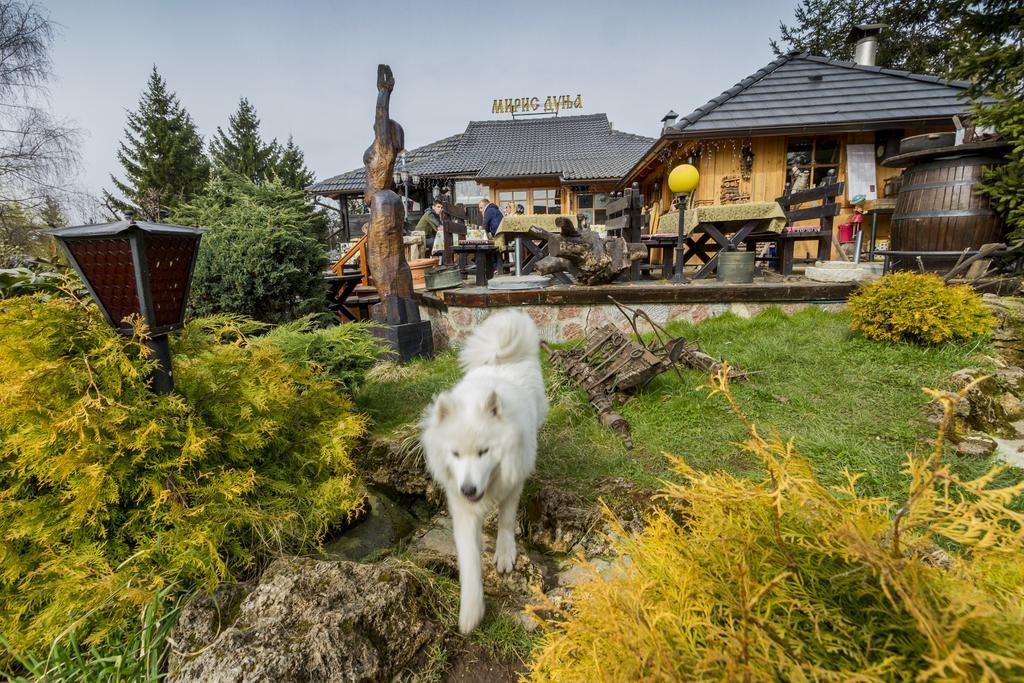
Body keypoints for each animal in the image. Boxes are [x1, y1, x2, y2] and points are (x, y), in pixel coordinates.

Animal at [419, 313, 548, 634]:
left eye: (483, 452)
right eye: (455, 454)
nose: (468, 489)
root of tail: (498, 359)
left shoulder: (514, 482)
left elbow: (506, 519)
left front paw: (504, 553)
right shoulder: (462, 509)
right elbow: (468, 560)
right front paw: (471, 610)